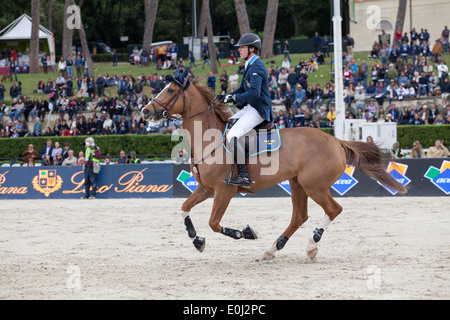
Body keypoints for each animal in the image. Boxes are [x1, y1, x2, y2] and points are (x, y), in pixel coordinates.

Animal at [142, 70, 408, 260]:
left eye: (170, 90)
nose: (145, 111)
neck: (210, 140)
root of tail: (335, 140)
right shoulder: (205, 189)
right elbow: (184, 209)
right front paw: (197, 240)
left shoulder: (224, 190)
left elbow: (214, 223)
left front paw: (244, 233)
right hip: (297, 183)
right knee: (299, 216)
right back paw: (273, 248)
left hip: (314, 186)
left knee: (333, 210)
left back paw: (311, 245)